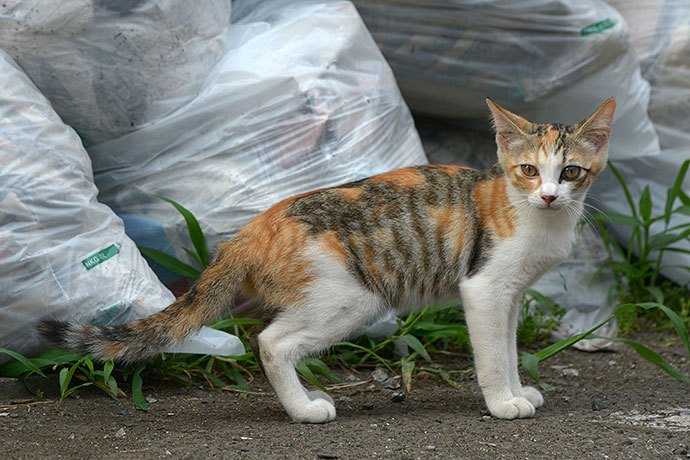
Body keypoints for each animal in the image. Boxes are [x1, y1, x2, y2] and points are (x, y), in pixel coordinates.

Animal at [40, 97, 616, 424]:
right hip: (353, 297)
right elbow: (494, 356)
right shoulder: (485, 288)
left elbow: (511, 349)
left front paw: (520, 391)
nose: (548, 196)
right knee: (271, 342)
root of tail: (250, 230)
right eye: (527, 170)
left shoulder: (511, 296)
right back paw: (304, 410)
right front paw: (502, 403)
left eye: (570, 172)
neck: (535, 218)